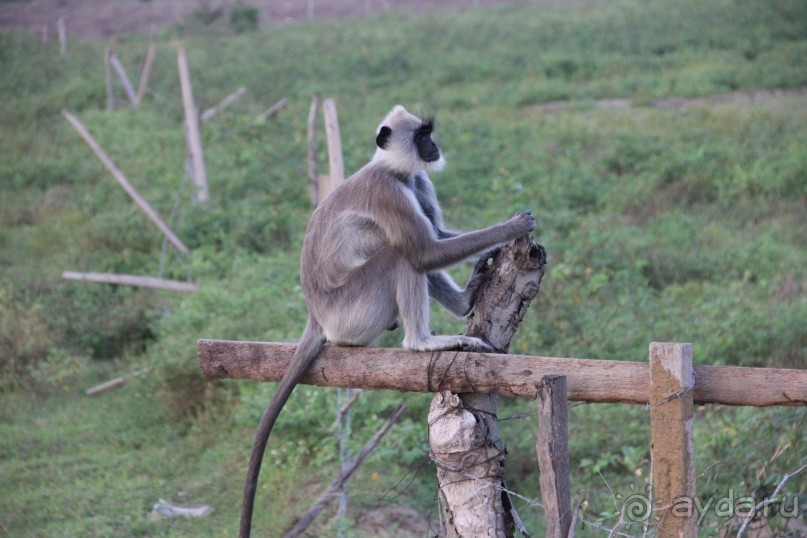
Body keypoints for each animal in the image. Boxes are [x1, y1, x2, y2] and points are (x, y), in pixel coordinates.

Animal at [243, 104, 540, 536]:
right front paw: (512, 227)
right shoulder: (389, 193)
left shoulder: (417, 182)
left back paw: (464, 302)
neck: (395, 171)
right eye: (421, 137)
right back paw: (424, 342)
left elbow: (436, 237)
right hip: (352, 312)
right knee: (401, 253)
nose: (434, 147)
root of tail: (317, 317)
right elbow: (424, 251)